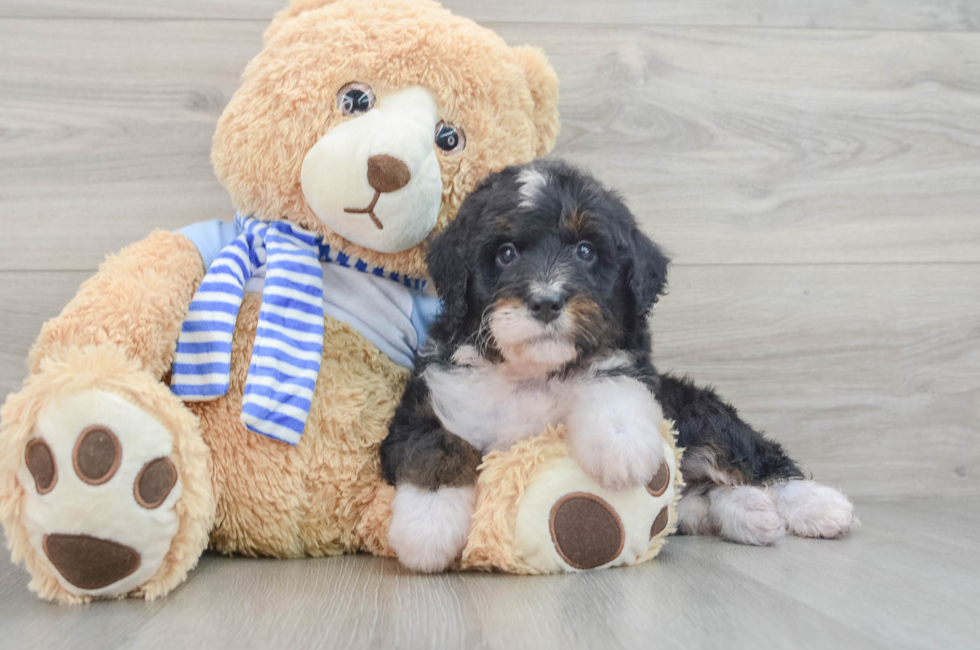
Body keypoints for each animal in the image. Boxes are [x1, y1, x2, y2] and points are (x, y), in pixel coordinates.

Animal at [378, 159, 852, 568]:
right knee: (697, 498)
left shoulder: (633, 369)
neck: (534, 372)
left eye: (586, 251)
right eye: (506, 253)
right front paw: (428, 527)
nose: (546, 302)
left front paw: (620, 445)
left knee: (754, 459)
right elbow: (435, 446)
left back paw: (817, 505)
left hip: (700, 413)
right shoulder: (423, 406)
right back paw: (750, 513)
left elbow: (611, 379)